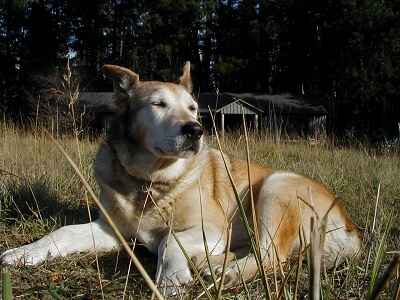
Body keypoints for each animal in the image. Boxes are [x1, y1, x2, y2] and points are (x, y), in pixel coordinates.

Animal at [0, 62, 362, 296]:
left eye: (193, 108)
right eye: (158, 104)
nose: (195, 130)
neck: (150, 181)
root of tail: (350, 227)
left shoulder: (212, 228)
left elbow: (169, 241)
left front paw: (171, 280)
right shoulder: (114, 231)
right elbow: (62, 233)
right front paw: (24, 253)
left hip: (275, 187)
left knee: (270, 257)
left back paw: (223, 272)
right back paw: (211, 262)